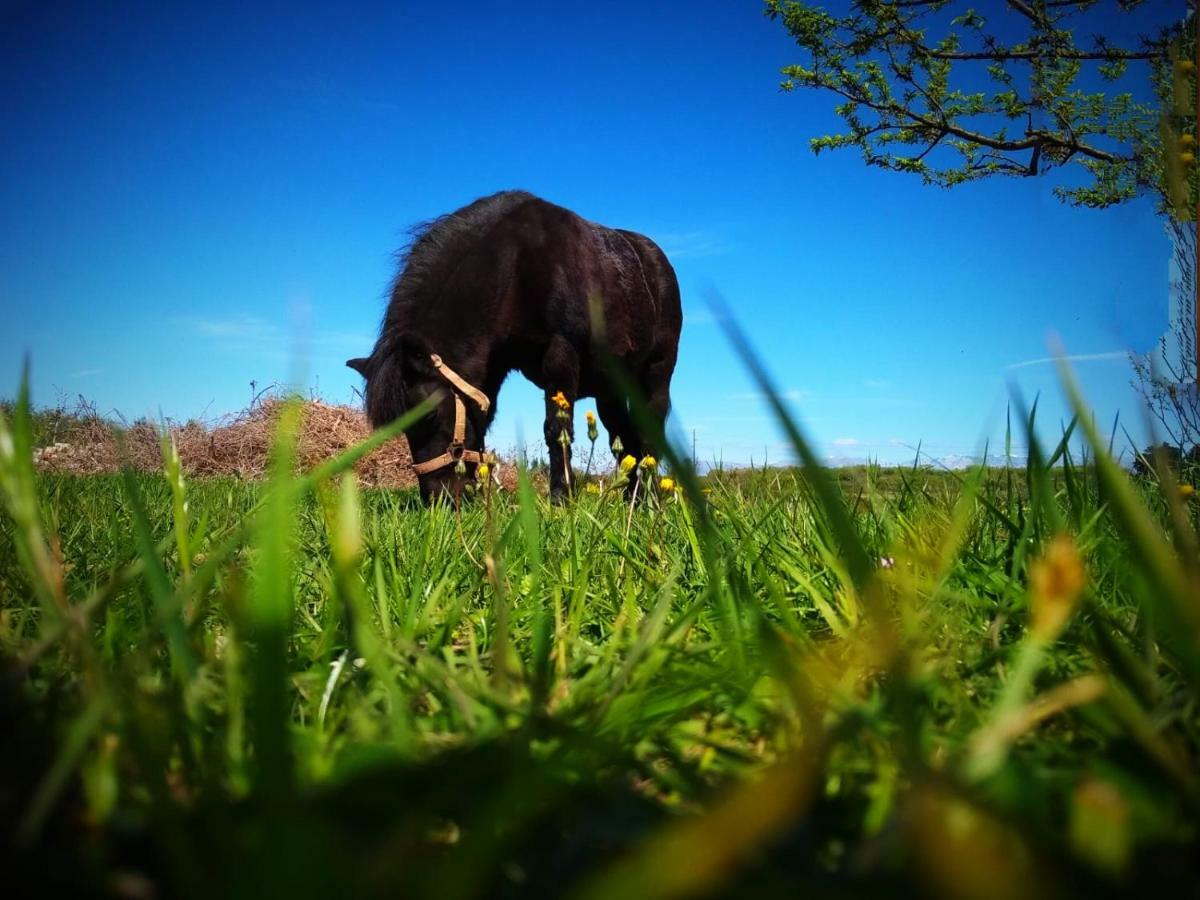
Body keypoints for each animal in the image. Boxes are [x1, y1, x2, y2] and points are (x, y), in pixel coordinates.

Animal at [350, 188, 681, 508]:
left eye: (428, 415)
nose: (438, 500)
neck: (518, 265)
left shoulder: (561, 352)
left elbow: (557, 429)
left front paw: (561, 497)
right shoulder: (492, 367)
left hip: (657, 372)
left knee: (650, 431)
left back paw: (648, 500)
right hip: (609, 388)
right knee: (623, 439)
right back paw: (633, 500)